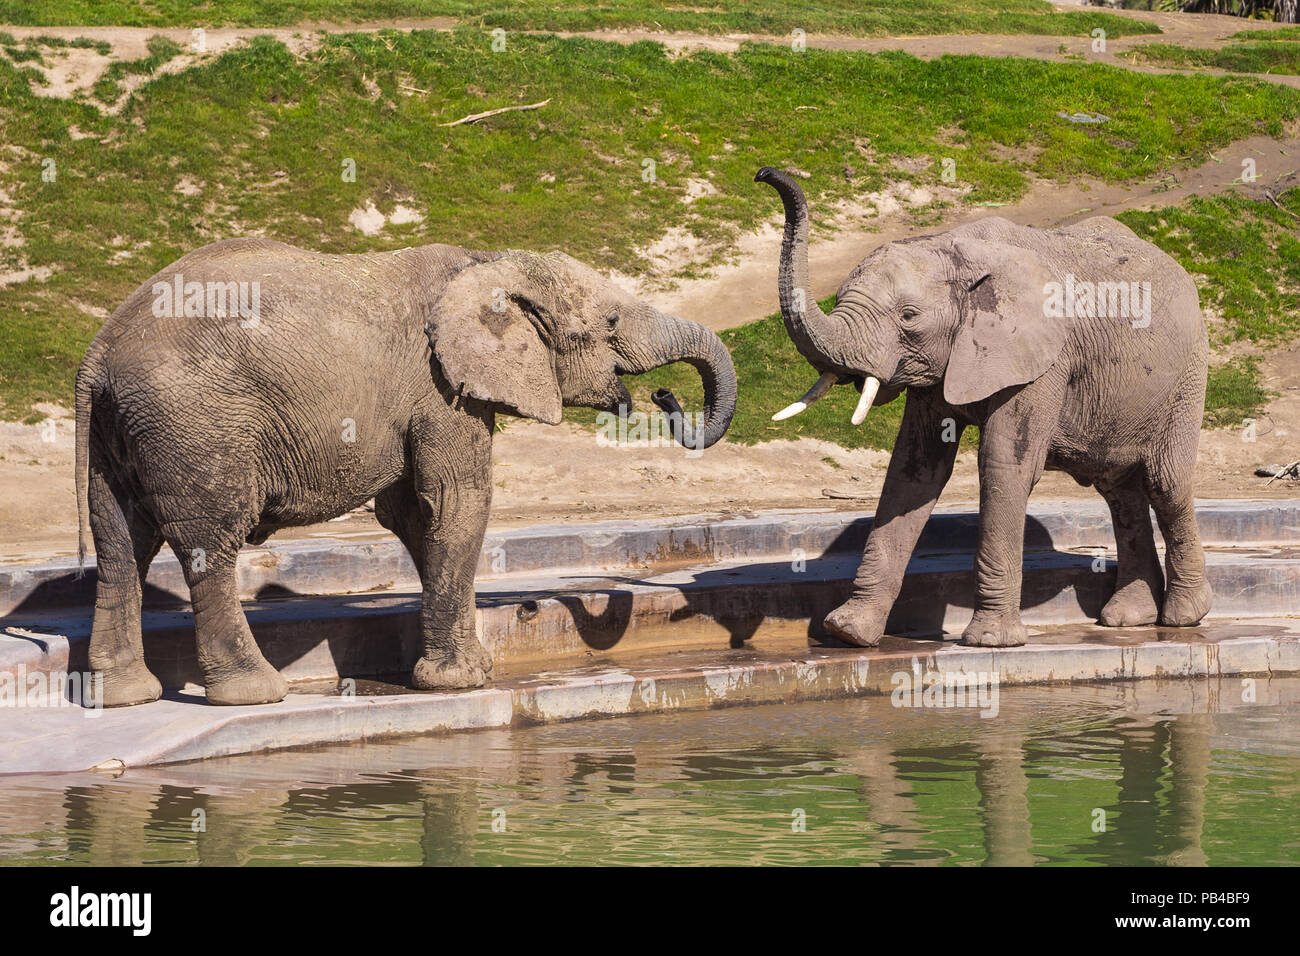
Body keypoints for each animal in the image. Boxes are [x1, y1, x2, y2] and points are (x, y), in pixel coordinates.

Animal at [76, 238, 738, 702]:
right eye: (609, 325)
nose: (662, 398)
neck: (487, 263)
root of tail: (98, 353)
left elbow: (416, 515)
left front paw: (473, 667)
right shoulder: (441, 389)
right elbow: (457, 501)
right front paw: (460, 681)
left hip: (123, 430)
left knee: (120, 543)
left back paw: (124, 697)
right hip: (195, 422)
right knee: (209, 543)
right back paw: (254, 694)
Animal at [759, 166, 1211, 650]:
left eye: (908, 316)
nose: (765, 173)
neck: (955, 250)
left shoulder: (1043, 361)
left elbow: (1003, 464)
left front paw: (989, 642)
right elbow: (914, 471)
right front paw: (848, 633)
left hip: (1188, 375)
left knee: (1165, 483)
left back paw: (1184, 617)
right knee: (1118, 490)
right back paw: (1128, 620)